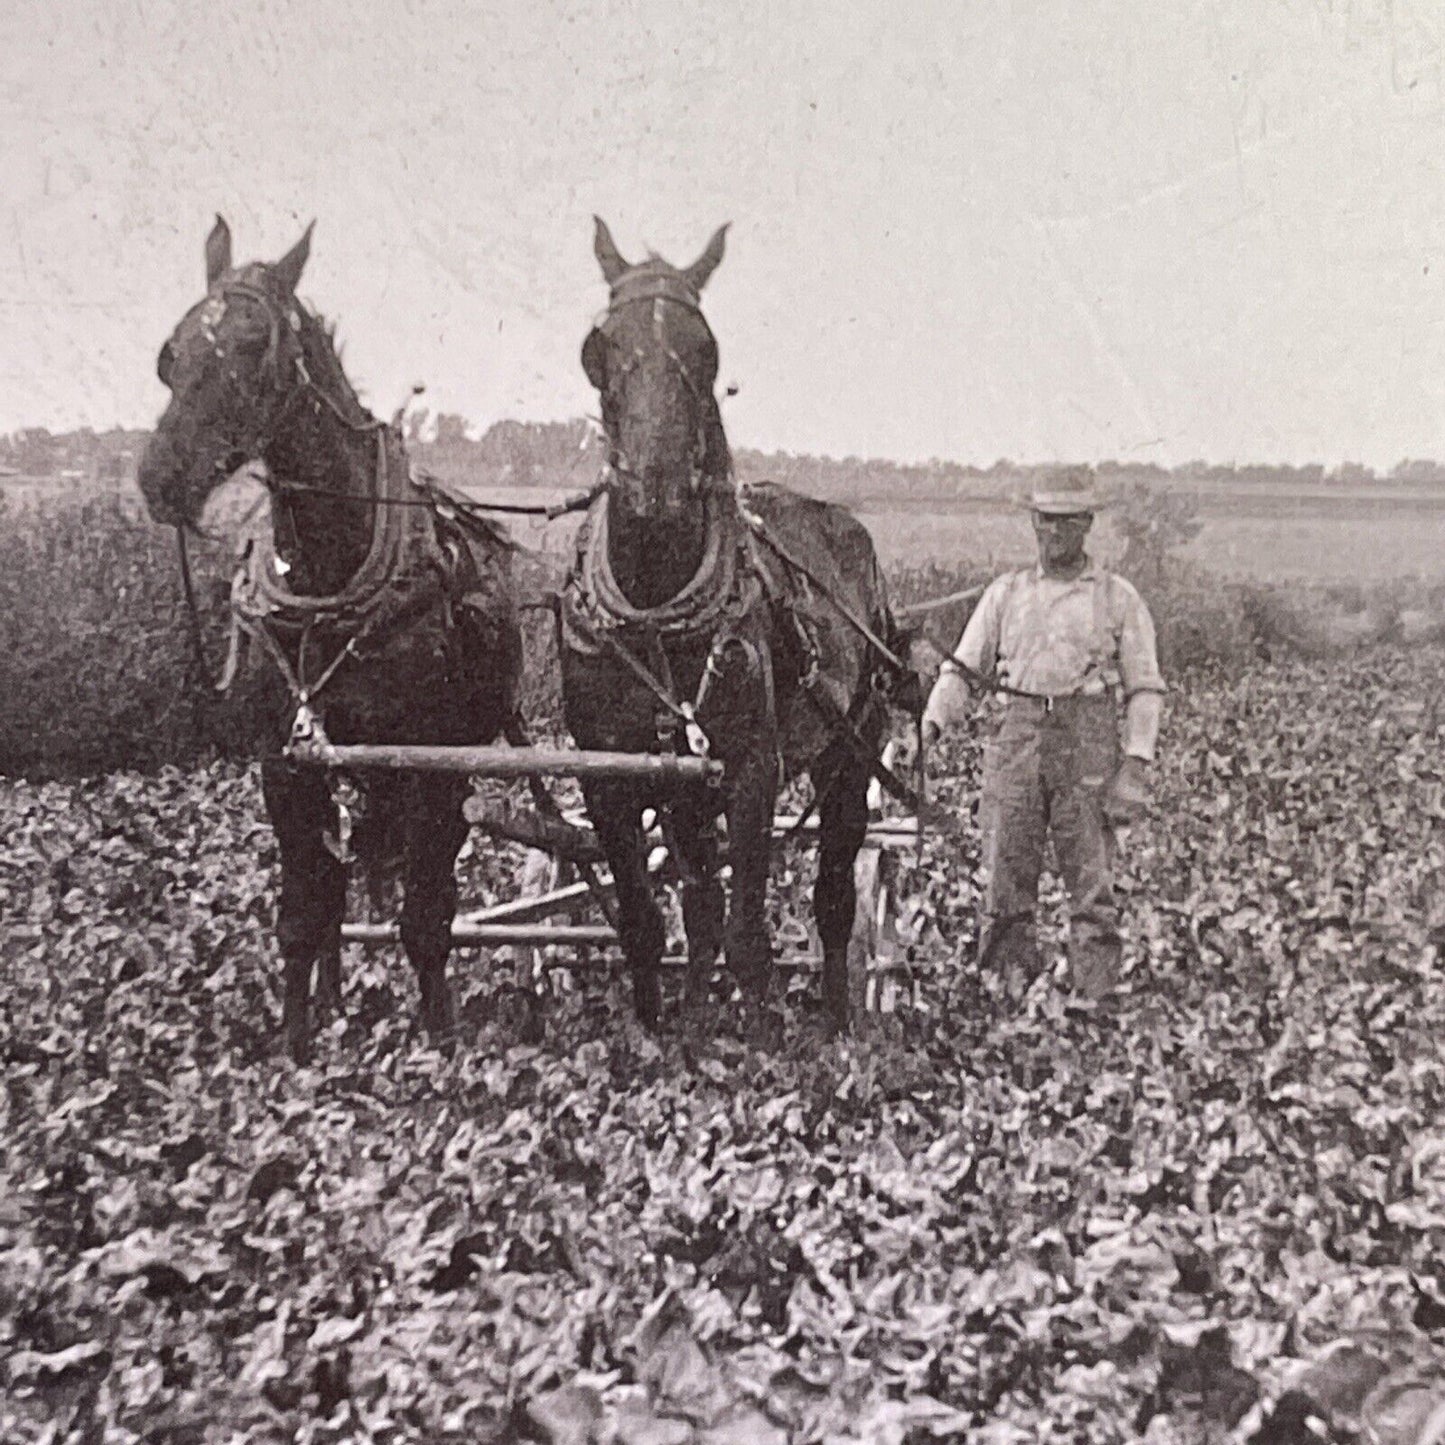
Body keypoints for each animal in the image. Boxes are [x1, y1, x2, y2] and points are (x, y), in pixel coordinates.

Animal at [137, 219, 523, 1069]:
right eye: (171, 351)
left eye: (255, 344)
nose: (161, 478)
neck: (334, 577)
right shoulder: (286, 766)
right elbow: (302, 912)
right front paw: (295, 1040)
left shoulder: (432, 764)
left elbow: (426, 912)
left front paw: (439, 1041)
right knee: (341, 880)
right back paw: (335, 995)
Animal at [557, 216, 919, 1040]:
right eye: (598, 346)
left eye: (707, 350)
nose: (656, 489)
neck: (657, 607)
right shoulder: (613, 775)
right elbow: (653, 919)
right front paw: (666, 1031)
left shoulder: (753, 769)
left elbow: (750, 932)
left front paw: (756, 1041)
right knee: (702, 899)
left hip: (850, 751)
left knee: (833, 895)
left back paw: (838, 1018)